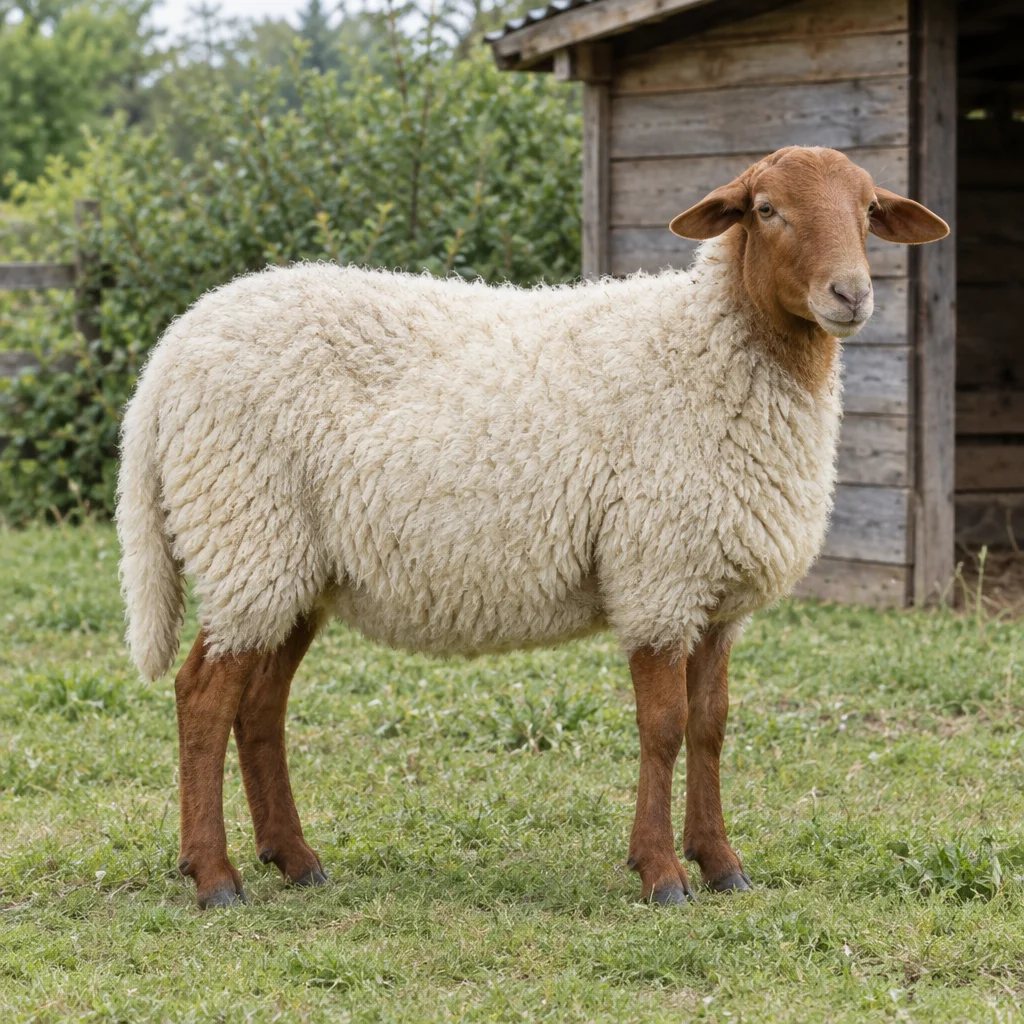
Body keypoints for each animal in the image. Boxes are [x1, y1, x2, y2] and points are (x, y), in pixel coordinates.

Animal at [116, 146, 949, 909]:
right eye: (767, 209)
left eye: (869, 210)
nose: (851, 294)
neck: (710, 346)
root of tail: (170, 354)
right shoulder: (657, 572)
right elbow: (663, 726)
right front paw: (662, 873)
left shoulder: (716, 591)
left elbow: (711, 726)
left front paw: (721, 864)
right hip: (245, 529)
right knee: (202, 697)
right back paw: (215, 877)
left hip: (294, 565)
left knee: (260, 707)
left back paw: (293, 859)